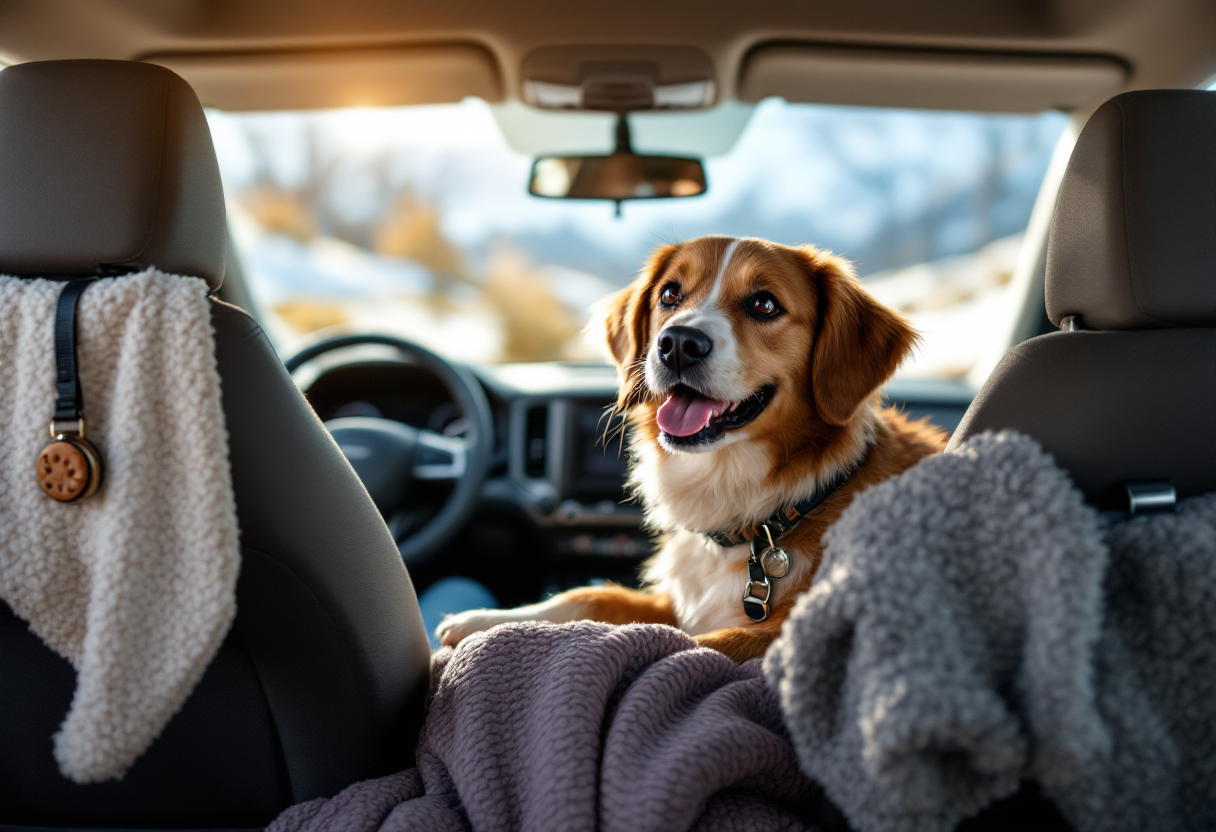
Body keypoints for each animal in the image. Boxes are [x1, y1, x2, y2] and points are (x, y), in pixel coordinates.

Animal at [432, 237, 943, 661]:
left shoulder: (785, 635)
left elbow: (694, 643)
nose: (677, 342)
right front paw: (487, 619)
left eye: (765, 303)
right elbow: (595, 595)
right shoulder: (673, 600)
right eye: (670, 295)